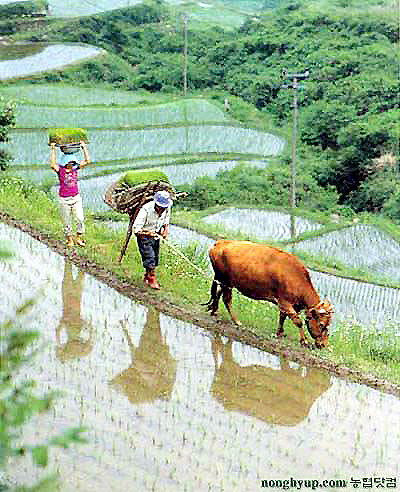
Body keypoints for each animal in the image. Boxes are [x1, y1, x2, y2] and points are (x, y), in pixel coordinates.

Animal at [206, 240, 334, 348]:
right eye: (321, 324)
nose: (324, 344)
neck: (298, 279)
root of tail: (221, 242)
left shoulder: (286, 305)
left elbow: (282, 317)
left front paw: (280, 333)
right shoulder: (284, 302)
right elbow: (298, 321)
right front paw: (304, 341)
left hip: (225, 281)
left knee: (218, 293)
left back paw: (214, 310)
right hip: (225, 281)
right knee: (227, 299)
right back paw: (236, 321)